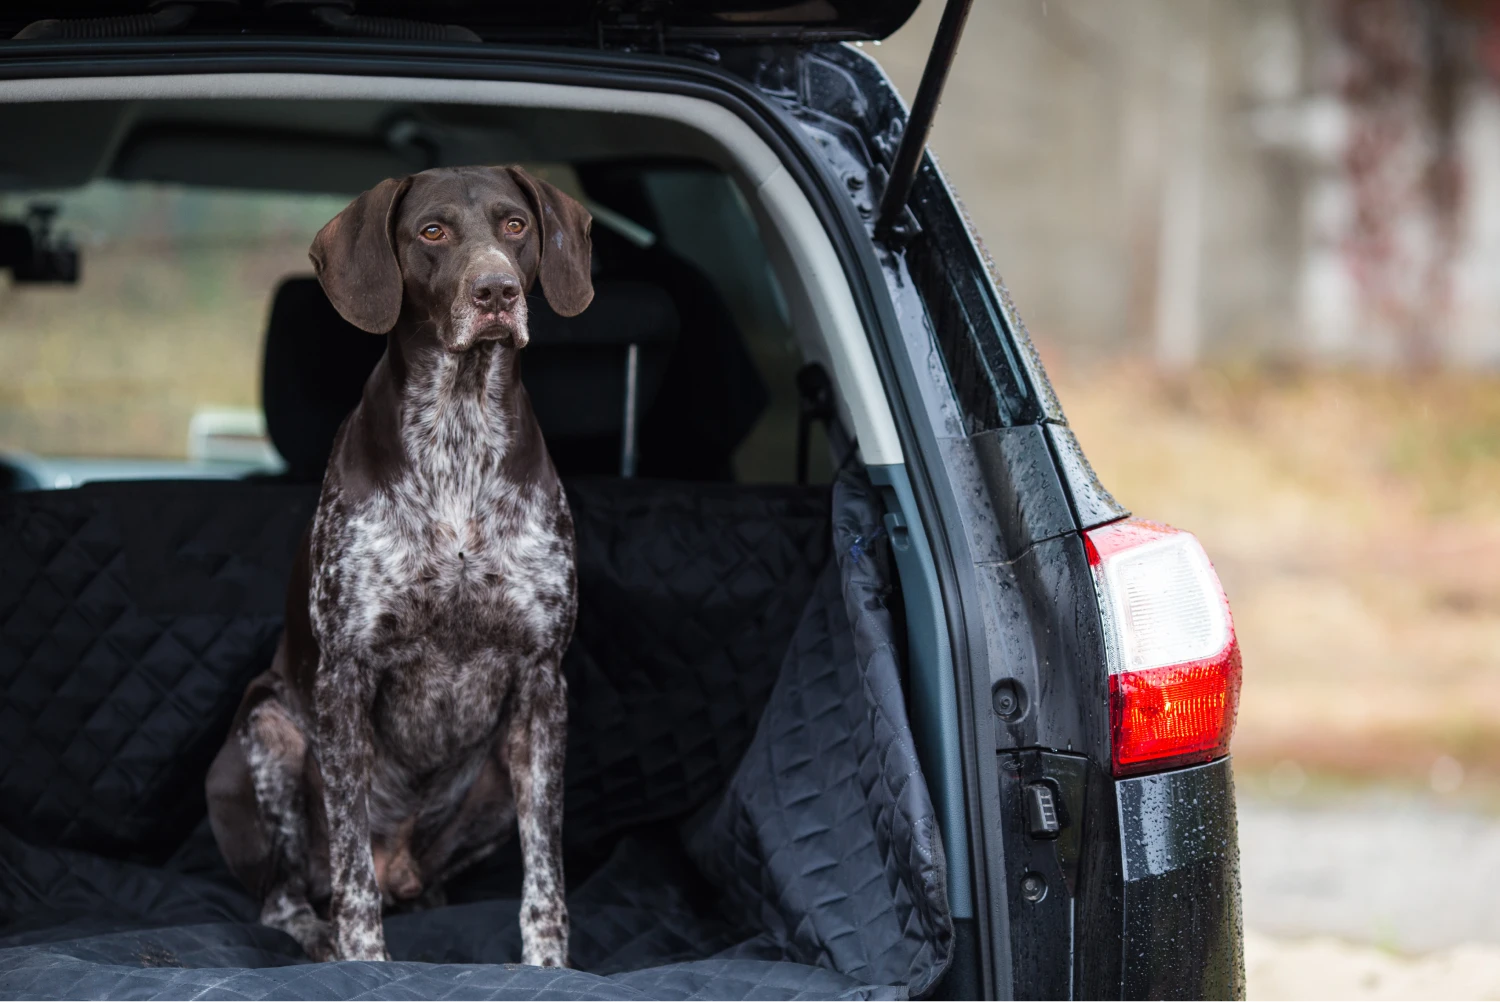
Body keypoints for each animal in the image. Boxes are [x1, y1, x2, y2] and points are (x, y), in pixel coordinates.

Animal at [207, 164, 591, 960]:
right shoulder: (345, 679)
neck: (459, 426)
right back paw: (315, 933)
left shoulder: (543, 685)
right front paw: (363, 960)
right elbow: (351, 867)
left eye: (515, 225)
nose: (496, 292)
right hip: (268, 733)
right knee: (285, 893)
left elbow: (546, 872)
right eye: (433, 231)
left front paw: (548, 965)